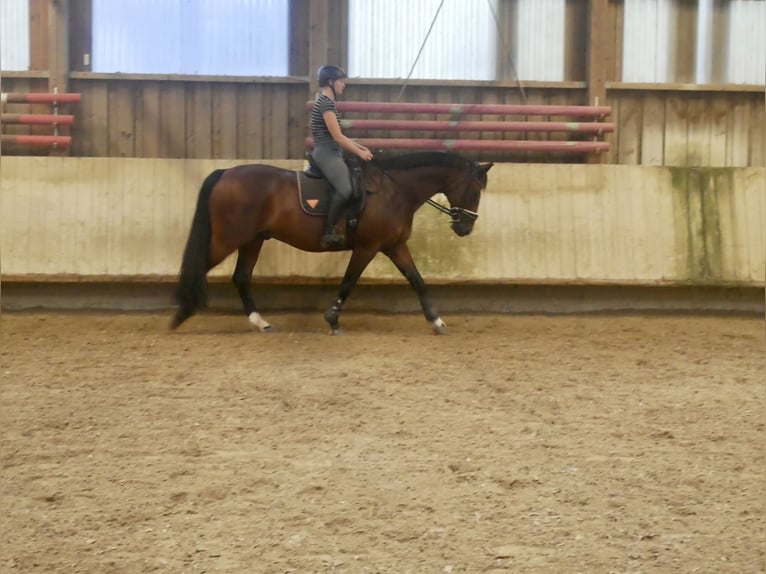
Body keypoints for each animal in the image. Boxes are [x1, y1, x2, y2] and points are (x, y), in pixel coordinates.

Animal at [171, 151, 496, 336]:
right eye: (475, 190)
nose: (465, 227)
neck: (394, 190)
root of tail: (226, 172)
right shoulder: (368, 246)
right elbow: (349, 282)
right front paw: (332, 319)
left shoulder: (394, 245)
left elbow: (417, 281)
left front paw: (437, 322)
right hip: (228, 239)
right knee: (199, 268)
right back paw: (181, 313)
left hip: (252, 240)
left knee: (241, 277)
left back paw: (259, 322)